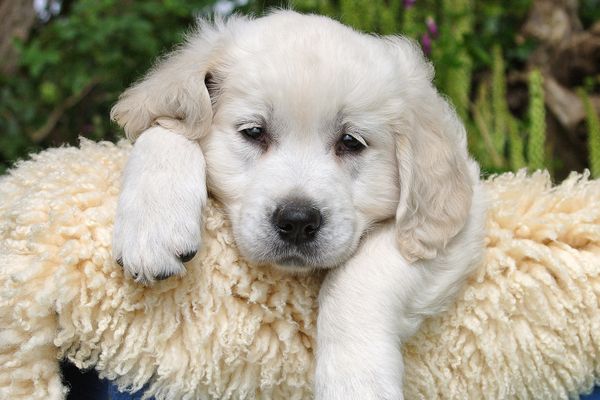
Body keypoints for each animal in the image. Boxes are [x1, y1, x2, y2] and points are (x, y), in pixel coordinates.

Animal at [111, 10, 488, 400]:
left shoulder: (447, 226)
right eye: (254, 132)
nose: (296, 222)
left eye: (351, 142)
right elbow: (165, 126)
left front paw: (355, 381)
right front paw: (154, 227)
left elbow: (360, 275)